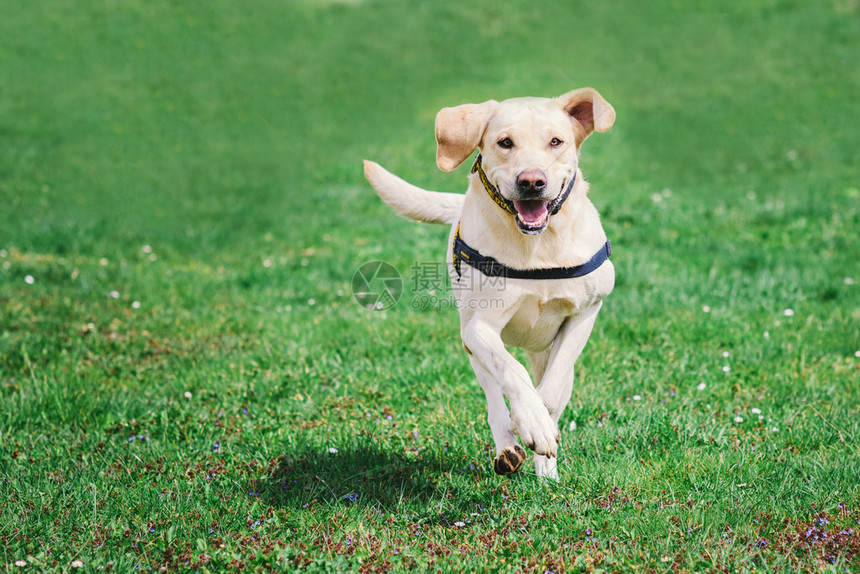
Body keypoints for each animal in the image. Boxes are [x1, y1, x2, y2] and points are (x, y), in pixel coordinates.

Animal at [362, 88, 620, 480]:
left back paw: (547, 474)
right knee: (494, 395)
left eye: (556, 141)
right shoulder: (478, 328)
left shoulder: (585, 313)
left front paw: (541, 424)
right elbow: (510, 372)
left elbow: (553, 389)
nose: (532, 182)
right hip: (471, 346)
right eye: (505, 142)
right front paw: (529, 422)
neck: (537, 246)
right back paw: (508, 448)